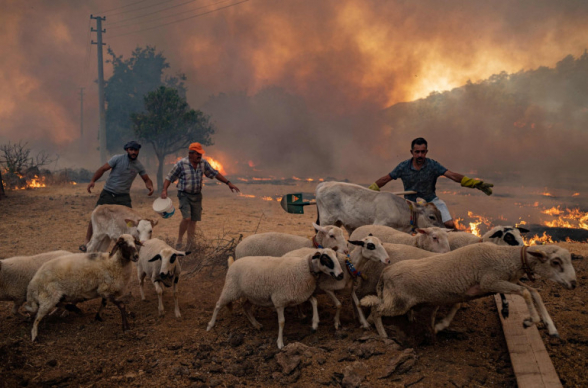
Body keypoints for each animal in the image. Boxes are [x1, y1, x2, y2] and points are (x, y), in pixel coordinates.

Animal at [208, 249, 342, 348]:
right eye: (325, 258)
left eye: (336, 256)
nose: (341, 275)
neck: (304, 268)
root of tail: (233, 263)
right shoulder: (279, 300)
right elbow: (281, 322)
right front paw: (280, 343)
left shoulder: (299, 293)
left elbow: (314, 301)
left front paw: (314, 324)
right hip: (231, 288)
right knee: (218, 305)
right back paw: (210, 325)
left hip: (251, 295)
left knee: (245, 307)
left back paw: (256, 324)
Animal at [314, 182, 444, 233]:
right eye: (432, 217)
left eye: (440, 215)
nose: (444, 229)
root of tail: (324, 183)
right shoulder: (380, 224)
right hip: (326, 220)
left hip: (337, 222)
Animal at [360, 244, 576, 338]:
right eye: (556, 262)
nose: (574, 283)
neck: (506, 257)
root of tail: (386, 272)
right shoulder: (490, 282)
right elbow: (525, 293)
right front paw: (530, 321)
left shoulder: (487, 286)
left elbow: (533, 292)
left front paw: (551, 327)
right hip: (399, 302)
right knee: (376, 310)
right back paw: (383, 335)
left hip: (394, 299)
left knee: (374, 307)